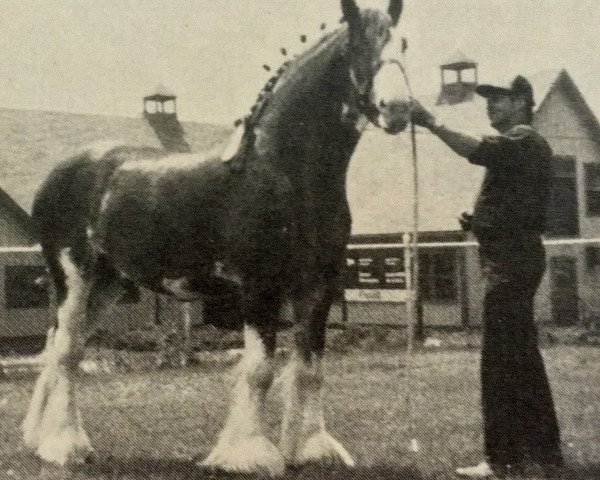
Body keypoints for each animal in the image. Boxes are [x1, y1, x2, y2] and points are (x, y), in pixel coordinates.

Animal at [22, 0, 412, 474]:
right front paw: (249, 455)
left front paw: (312, 449)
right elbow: (259, 369)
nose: (399, 107)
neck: (281, 171)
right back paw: (66, 447)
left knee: (66, 348)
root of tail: (60, 174)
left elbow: (310, 368)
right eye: (358, 44)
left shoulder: (319, 288)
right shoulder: (260, 287)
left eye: (404, 44)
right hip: (74, 277)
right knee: (66, 353)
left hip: (109, 284)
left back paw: (45, 439)